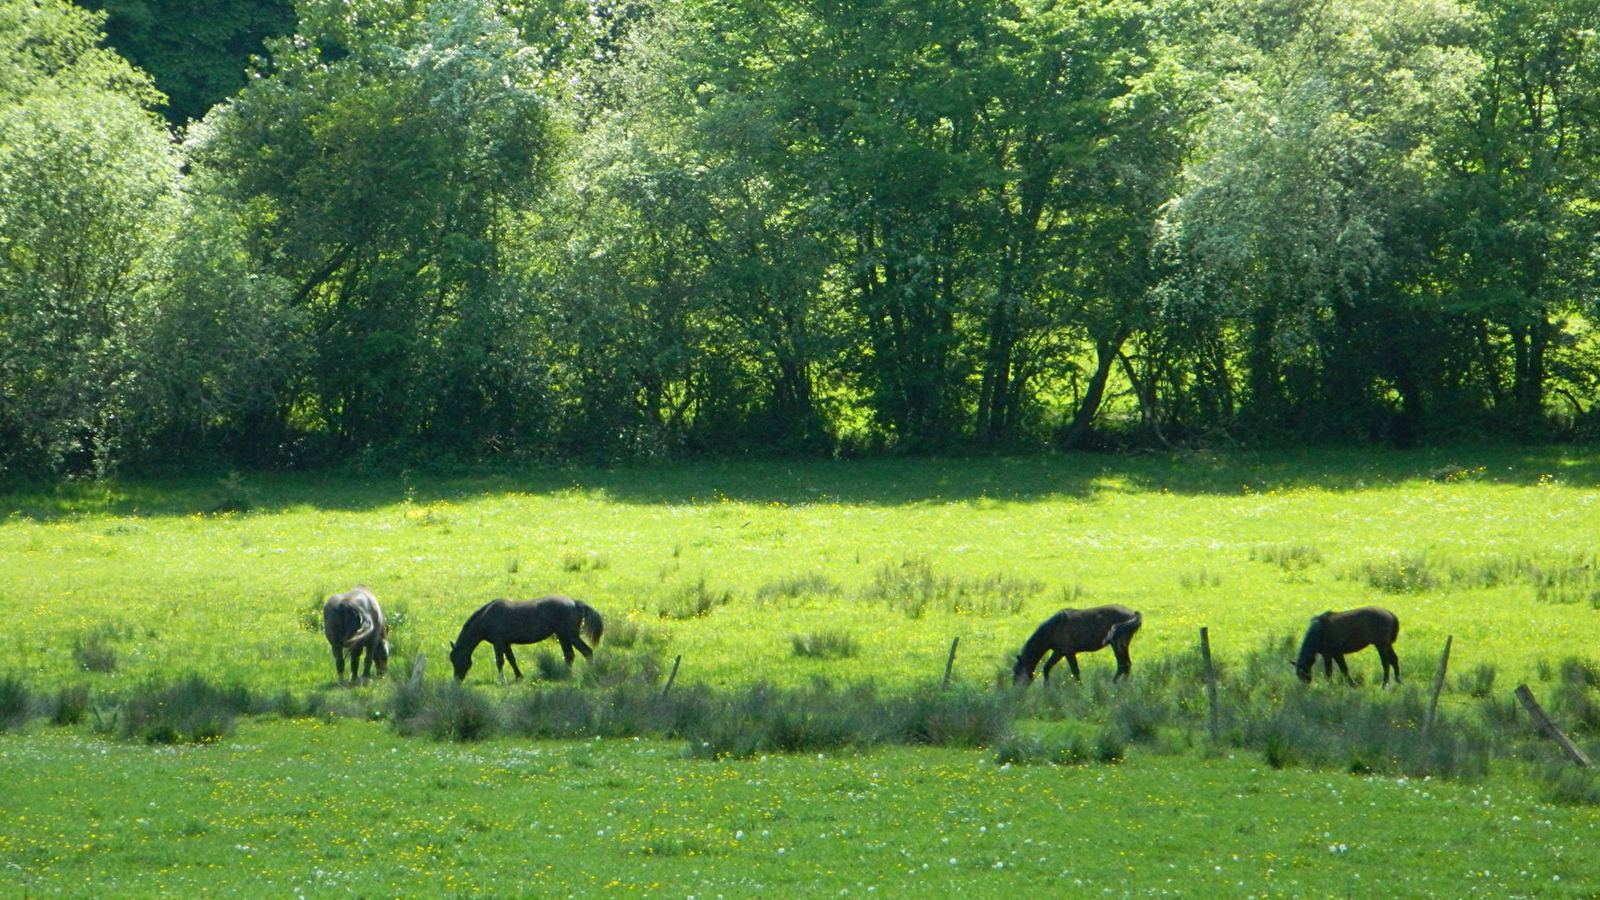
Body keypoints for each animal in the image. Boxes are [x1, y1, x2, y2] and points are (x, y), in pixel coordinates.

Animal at [451, 595, 604, 679]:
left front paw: (502, 681)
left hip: (569, 636)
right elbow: (511, 659)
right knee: (570, 656)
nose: (457, 680)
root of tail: (574, 603)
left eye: (455, 660)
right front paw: (519, 677)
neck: (487, 617)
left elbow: (500, 662)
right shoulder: (506, 643)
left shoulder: (498, 643)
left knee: (586, 651)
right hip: (564, 637)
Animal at [1011, 605, 1139, 682]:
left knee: (1123, 665)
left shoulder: (1069, 653)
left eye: (1017, 672)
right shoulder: (1058, 652)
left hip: (1118, 644)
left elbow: (1075, 672)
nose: (1016, 691)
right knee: (1126, 665)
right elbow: (1047, 668)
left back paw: (1114, 683)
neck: (1053, 628)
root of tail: (1133, 613)